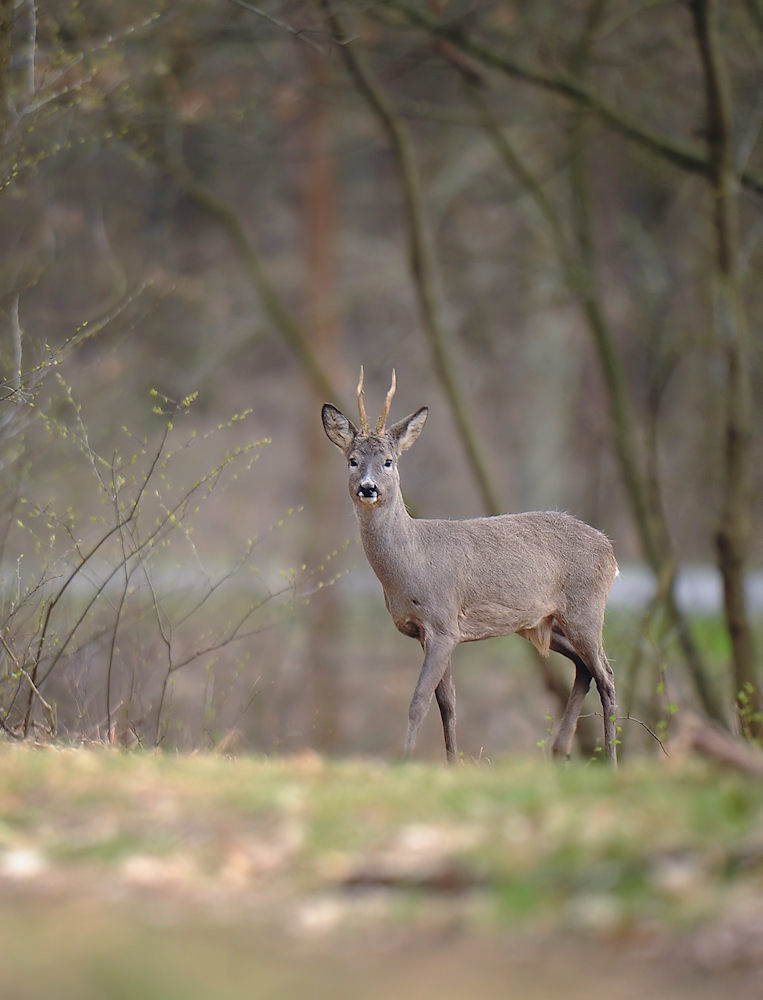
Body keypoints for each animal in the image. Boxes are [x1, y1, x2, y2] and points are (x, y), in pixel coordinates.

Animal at [322, 368, 620, 764]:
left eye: (388, 461)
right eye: (353, 459)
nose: (368, 488)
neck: (411, 564)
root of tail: (610, 551)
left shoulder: (442, 622)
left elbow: (419, 701)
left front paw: (405, 761)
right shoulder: (431, 631)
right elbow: (447, 704)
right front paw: (452, 764)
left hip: (586, 608)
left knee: (607, 675)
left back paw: (611, 760)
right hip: (541, 622)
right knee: (584, 667)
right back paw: (560, 752)